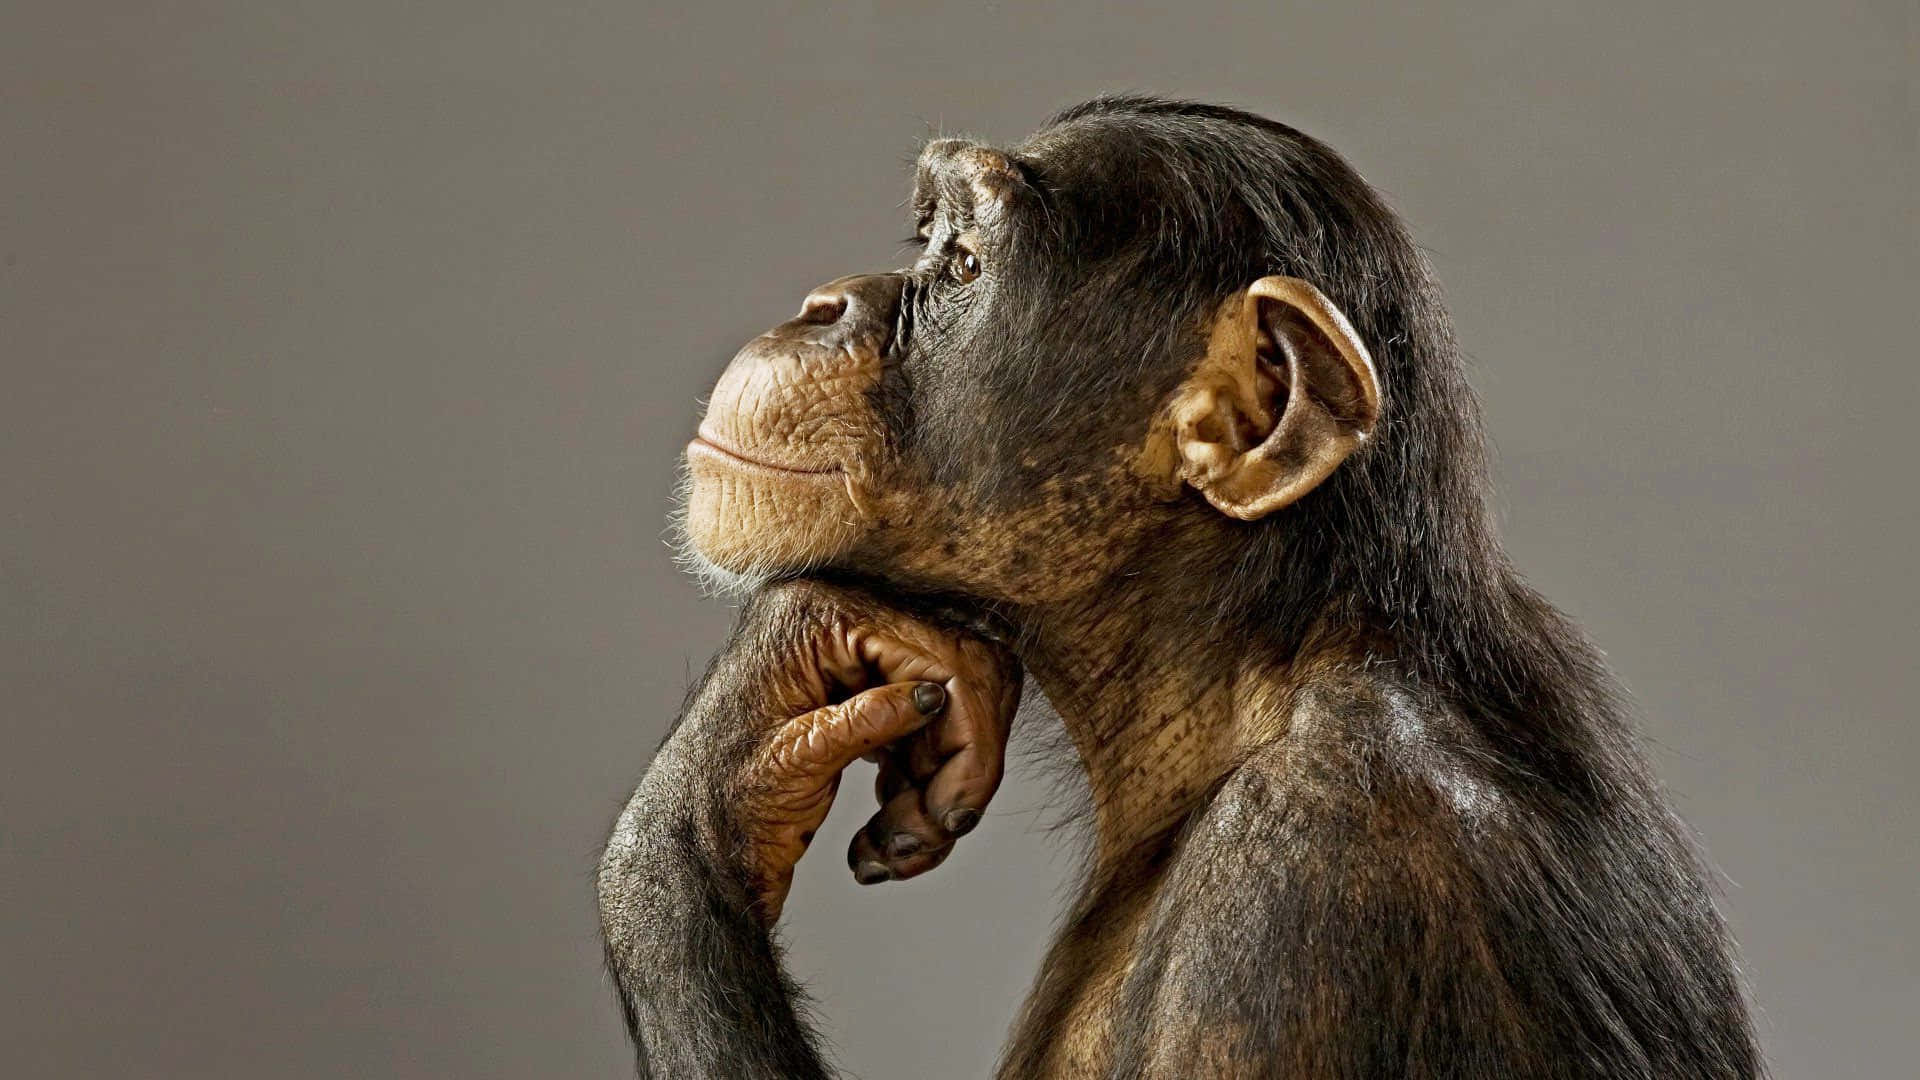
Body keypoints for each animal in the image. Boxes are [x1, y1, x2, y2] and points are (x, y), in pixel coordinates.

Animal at [597, 96, 1763, 1078]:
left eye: (965, 263)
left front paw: (714, 771)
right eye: (925, 239)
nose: (822, 303)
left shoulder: (1309, 891)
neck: (1255, 672)